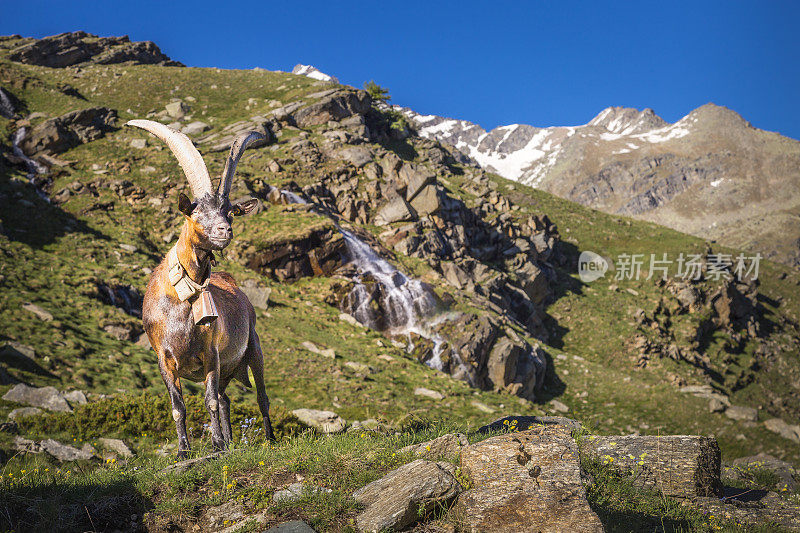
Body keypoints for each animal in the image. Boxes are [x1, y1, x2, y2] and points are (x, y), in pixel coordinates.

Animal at [126, 120, 274, 458]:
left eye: (229, 212)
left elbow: (209, 402)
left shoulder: (210, 354)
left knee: (259, 397)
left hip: (253, 348)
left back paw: (269, 440)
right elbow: (178, 407)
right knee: (226, 399)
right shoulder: (164, 358)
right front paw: (184, 451)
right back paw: (231, 442)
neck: (182, 299)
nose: (224, 230)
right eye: (195, 212)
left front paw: (216, 445)